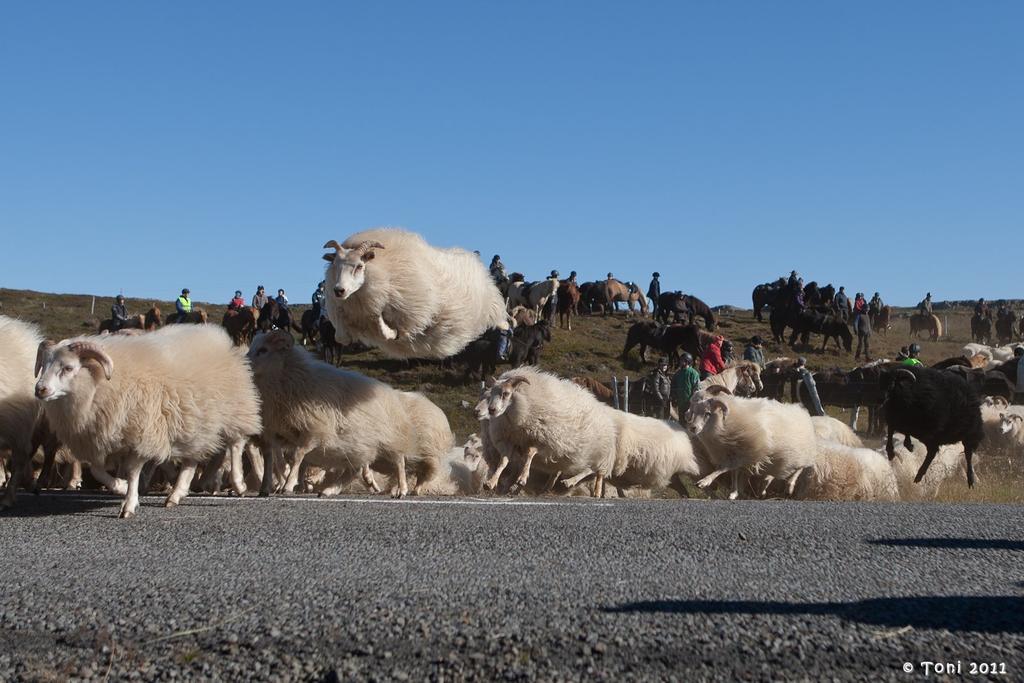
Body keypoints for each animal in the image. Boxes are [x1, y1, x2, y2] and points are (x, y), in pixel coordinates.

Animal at [34, 325, 262, 518]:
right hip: (194, 423)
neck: (99, 383)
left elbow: (133, 471)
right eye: (43, 365)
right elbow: (98, 472)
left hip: (236, 409)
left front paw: (128, 504)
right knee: (192, 459)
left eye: (68, 368)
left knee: (236, 444)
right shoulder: (101, 439)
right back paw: (176, 493)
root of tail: (219, 336)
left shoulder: (141, 433)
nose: (40, 390)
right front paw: (120, 486)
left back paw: (239, 484)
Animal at [245, 329, 450, 497]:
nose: (243, 366)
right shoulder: (275, 433)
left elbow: (297, 458)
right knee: (355, 470)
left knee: (400, 462)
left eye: (263, 350)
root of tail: (390, 393)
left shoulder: (314, 431)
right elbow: (272, 461)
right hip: (359, 447)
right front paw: (267, 488)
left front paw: (288, 485)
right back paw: (330, 490)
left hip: (388, 441)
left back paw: (403, 490)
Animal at [323, 228, 507, 360]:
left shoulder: (411, 315)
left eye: (360, 266)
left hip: (485, 309)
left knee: (499, 317)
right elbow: (341, 337)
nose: (339, 290)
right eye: (335, 265)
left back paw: (505, 324)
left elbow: (387, 332)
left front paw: (384, 325)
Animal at [481, 368, 614, 497]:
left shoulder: (543, 440)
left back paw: (592, 490)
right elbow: (503, 462)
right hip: (566, 454)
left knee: (595, 471)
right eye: (491, 394)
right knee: (559, 470)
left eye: (506, 393)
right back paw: (546, 488)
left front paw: (522, 479)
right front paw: (490, 483)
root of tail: (601, 406)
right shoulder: (508, 441)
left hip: (600, 453)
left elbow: (530, 453)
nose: (491, 410)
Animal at [684, 393, 819, 499]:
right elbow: (733, 473)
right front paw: (733, 493)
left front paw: (705, 481)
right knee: (772, 473)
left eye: (708, 413)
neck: (724, 424)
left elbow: (724, 468)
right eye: (693, 412)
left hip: (800, 452)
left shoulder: (746, 454)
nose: (692, 428)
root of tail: (801, 410)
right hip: (778, 457)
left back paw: (790, 485)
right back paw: (763, 488)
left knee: (803, 466)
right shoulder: (733, 453)